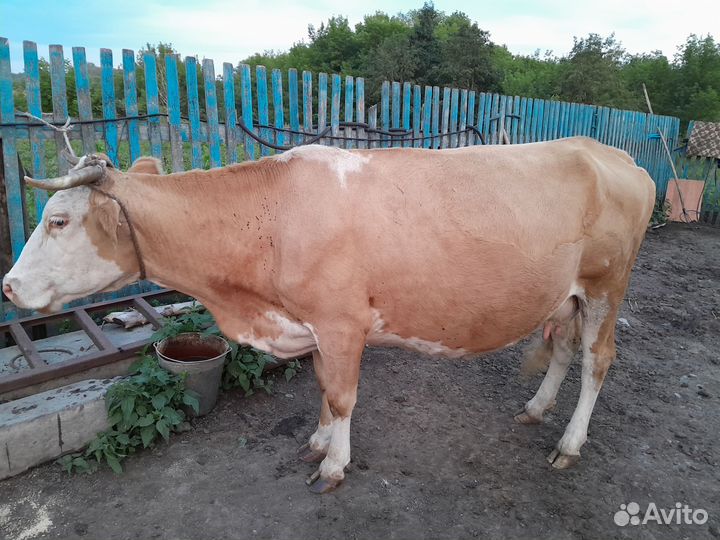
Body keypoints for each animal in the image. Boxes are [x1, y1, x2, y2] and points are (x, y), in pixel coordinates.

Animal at [2, 137, 655, 493]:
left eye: (58, 220)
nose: (8, 285)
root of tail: (611, 152)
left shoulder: (343, 324)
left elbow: (342, 396)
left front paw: (335, 464)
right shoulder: (311, 324)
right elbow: (319, 387)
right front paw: (317, 441)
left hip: (607, 285)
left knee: (598, 361)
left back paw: (570, 443)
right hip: (566, 295)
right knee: (565, 349)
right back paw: (537, 408)